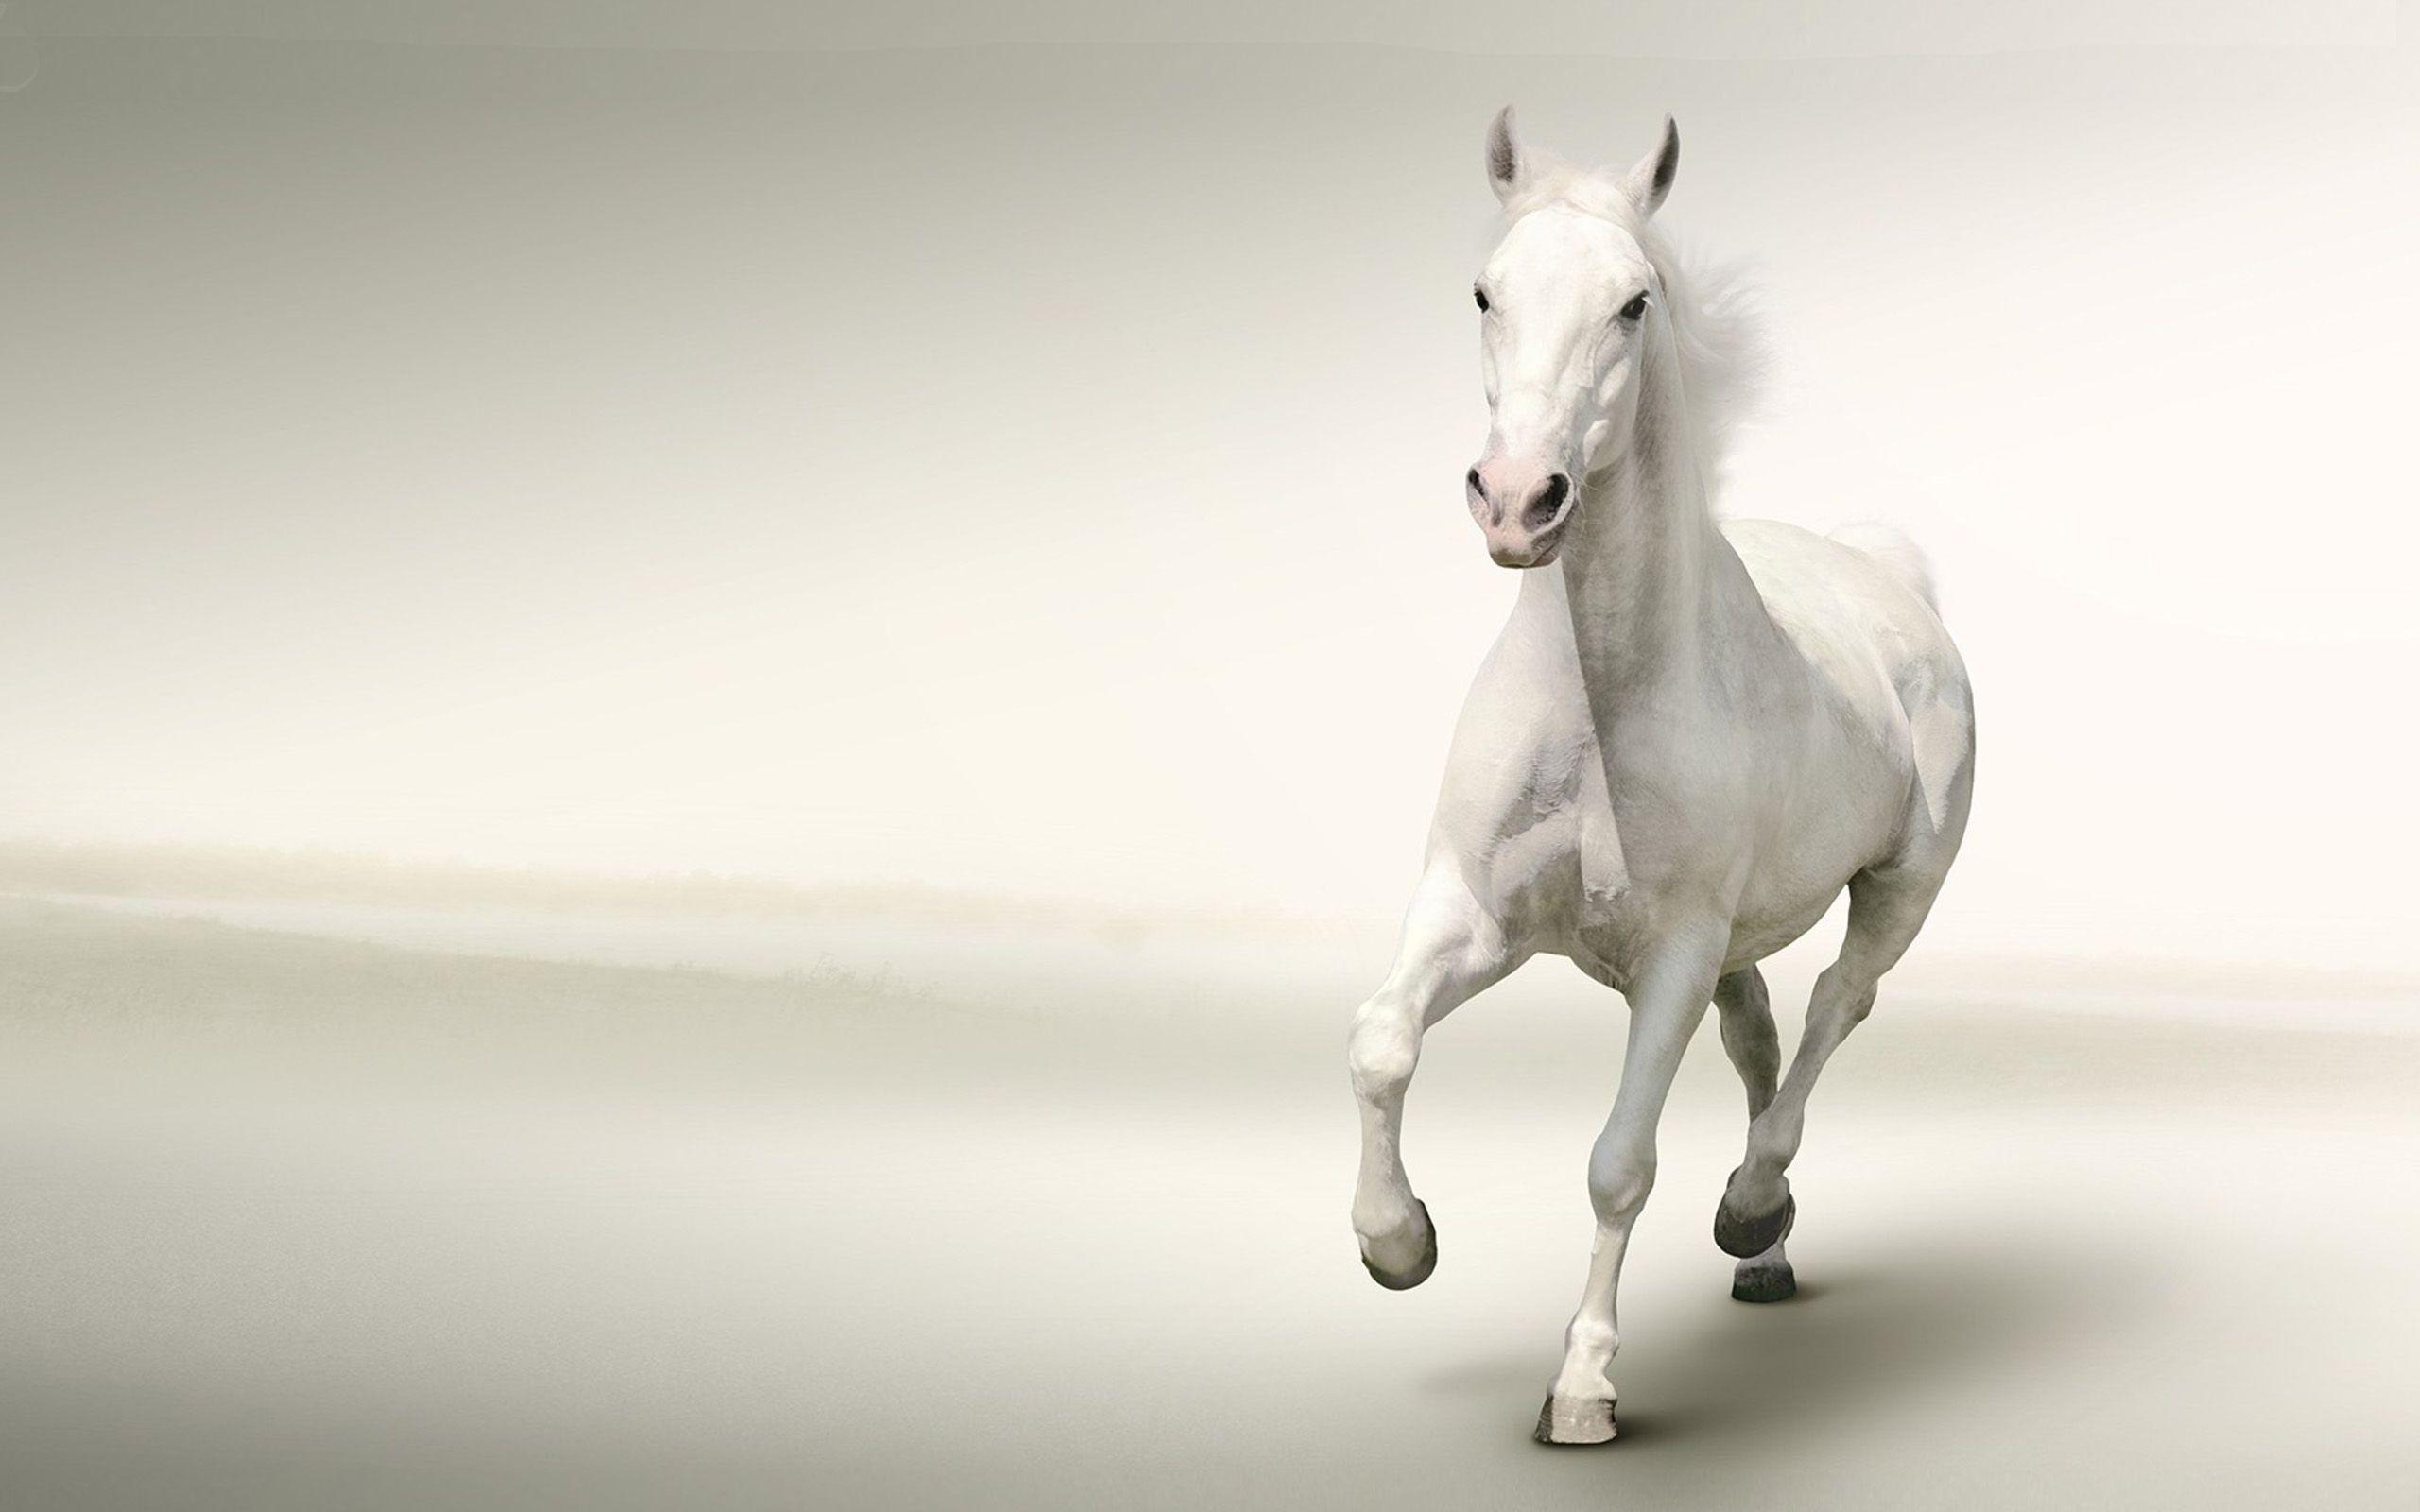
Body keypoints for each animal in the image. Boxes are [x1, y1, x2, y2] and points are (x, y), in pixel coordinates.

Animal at [1344, 109, 1975, 1446]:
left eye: (1632, 303)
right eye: (1484, 290)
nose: (1517, 500)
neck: (1598, 704)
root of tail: (1884, 574)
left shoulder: (1673, 954)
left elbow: (1618, 1162)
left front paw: (1582, 1388)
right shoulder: (1473, 913)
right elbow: (1380, 1041)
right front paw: (1397, 1244)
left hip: (1899, 888)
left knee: (1837, 1006)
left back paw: (1752, 1205)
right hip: (1741, 942)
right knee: (1762, 1034)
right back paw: (1765, 1254)